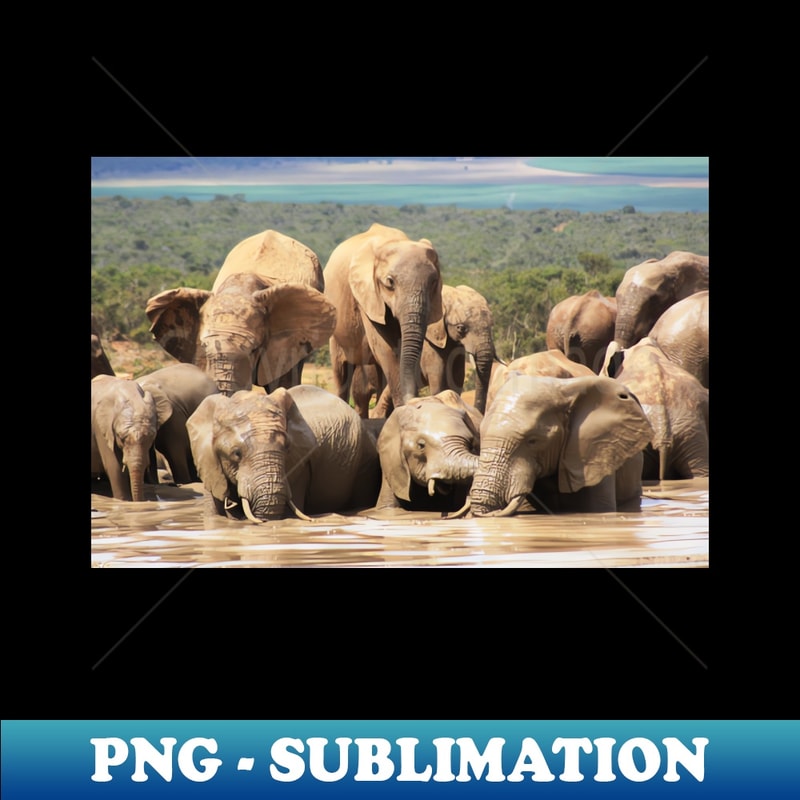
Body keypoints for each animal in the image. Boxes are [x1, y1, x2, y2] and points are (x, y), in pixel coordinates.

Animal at [324, 223, 446, 418]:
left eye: (434, 282)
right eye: (390, 282)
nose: (416, 402)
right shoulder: (367, 296)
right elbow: (385, 347)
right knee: (341, 373)